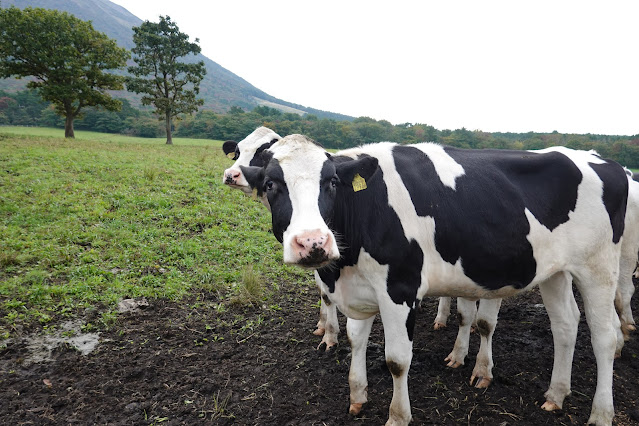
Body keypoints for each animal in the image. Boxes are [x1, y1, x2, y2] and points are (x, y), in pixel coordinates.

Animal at [242, 136, 628, 426]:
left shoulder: (400, 289)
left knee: (605, 337)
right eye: (271, 185)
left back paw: (601, 413)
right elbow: (356, 342)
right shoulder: (360, 291)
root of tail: (606, 162)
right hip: (555, 271)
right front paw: (358, 396)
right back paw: (555, 395)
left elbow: (397, 360)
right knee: (566, 325)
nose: (313, 242)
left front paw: (398, 416)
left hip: (598, 267)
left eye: (332, 183)